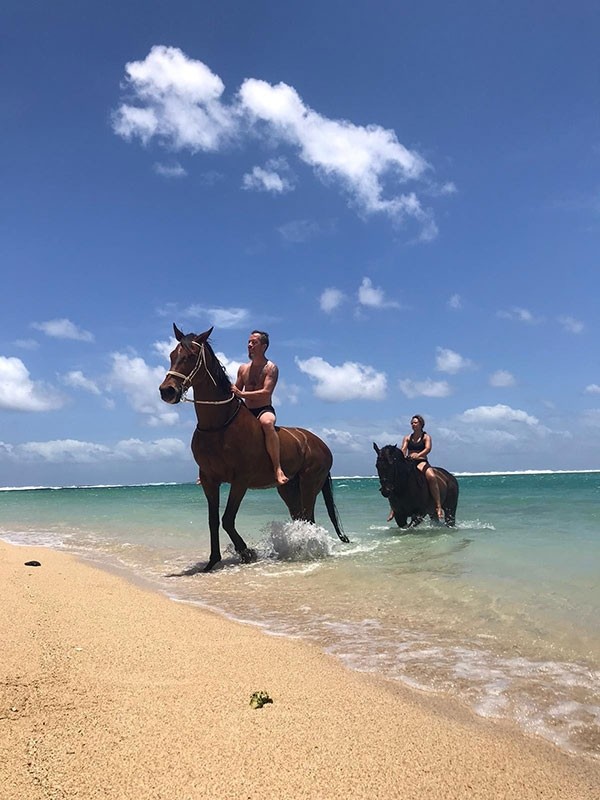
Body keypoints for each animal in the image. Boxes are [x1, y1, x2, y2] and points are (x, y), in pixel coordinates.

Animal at [159, 325, 349, 571]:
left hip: (310, 484)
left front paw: (247, 552)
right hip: (288, 488)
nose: (167, 391)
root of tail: (320, 443)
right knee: (299, 517)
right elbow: (213, 520)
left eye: (190, 356)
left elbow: (227, 519)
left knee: (308, 518)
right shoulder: (210, 480)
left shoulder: (240, 480)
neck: (218, 425)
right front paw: (213, 560)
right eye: (172, 355)